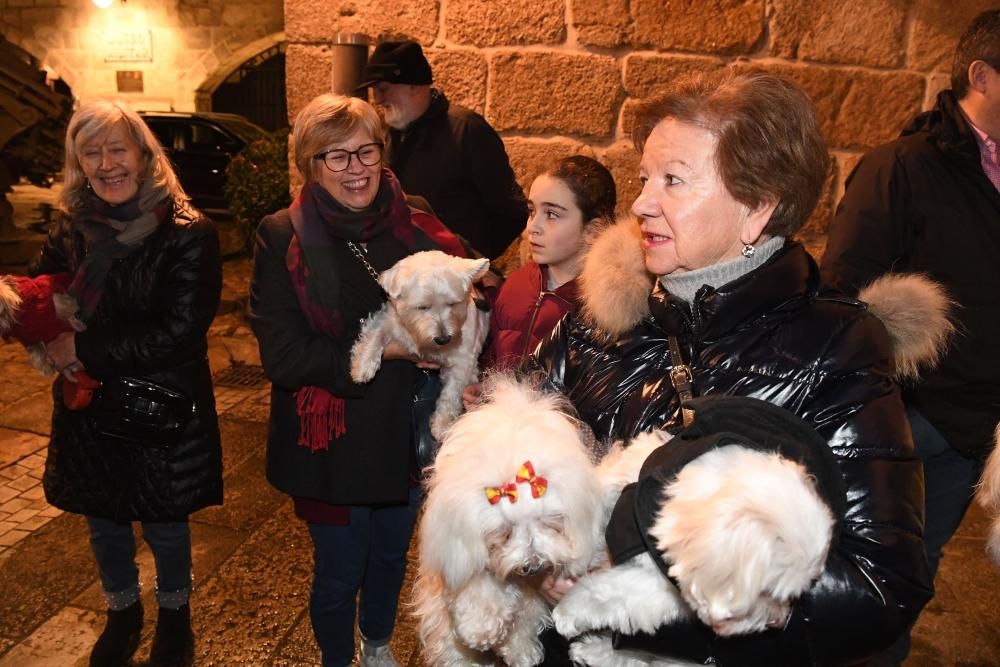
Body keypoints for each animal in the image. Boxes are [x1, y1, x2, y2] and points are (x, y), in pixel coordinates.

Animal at [352, 249, 492, 438]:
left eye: (453, 303)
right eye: (422, 307)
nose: (443, 339)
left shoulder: (463, 362)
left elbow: (451, 393)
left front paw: (441, 425)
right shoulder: (390, 320)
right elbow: (375, 335)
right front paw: (362, 366)